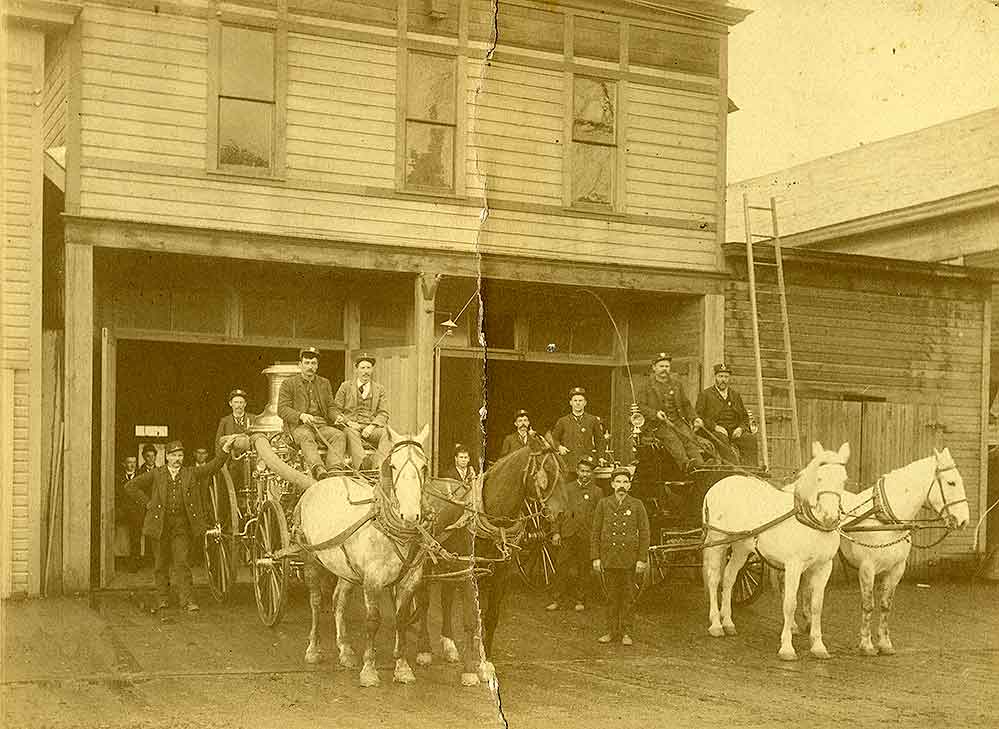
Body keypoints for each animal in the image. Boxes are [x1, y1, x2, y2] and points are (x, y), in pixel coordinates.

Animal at [300, 424, 434, 684]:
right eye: (393, 466)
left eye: (424, 466)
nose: (410, 515)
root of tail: (320, 481)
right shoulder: (372, 580)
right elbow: (373, 620)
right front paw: (369, 669)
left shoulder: (410, 580)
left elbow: (401, 618)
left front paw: (402, 666)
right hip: (312, 558)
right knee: (315, 601)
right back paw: (312, 649)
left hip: (346, 569)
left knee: (338, 601)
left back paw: (345, 650)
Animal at [416, 430, 572, 684]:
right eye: (546, 472)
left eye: (565, 471)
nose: (562, 513)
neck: (493, 517)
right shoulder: (470, 573)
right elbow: (471, 618)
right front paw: (470, 670)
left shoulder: (500, 573)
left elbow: (491, 617)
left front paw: (486, 663)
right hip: (428, 560)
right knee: (423, 601)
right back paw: (424, 649)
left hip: (451, 562)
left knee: (446, 598)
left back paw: (449, 645)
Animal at [704, 438, 852, 660]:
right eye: (819, 478)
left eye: (843, 480)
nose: (830, 517)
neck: (809, 522)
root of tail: (720, 484)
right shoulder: (793, 566)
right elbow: (789, 604)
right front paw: (787, 647)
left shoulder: (823, 567)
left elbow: (817, 606)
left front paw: (818, 646)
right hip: (717, 541)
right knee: (714, 580)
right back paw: (715, 624)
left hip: (741, 547)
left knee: (729, 577)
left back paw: (728, 622)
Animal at [836, 446, 968, 656]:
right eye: (951, 482)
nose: (964, 520)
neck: (884, 520)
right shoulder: (867, 569)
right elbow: (868, 605)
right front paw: (866, 644)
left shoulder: (896, 569)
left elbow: (885, 605)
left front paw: (884, 644)